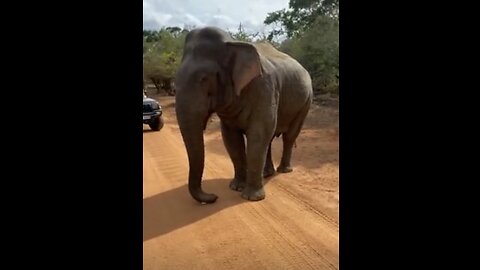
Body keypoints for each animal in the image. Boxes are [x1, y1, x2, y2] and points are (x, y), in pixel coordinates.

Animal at [174, 26, 314, 202]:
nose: (214, 196)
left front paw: (252, 198)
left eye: (204, 79)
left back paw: (284, 171)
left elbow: (257, 134)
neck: (232, 43)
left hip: (306, 101)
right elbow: (232, 139)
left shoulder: (265, 88)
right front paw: (236, 187)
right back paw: (267, 174)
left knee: (289, 136)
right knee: (269, 139)